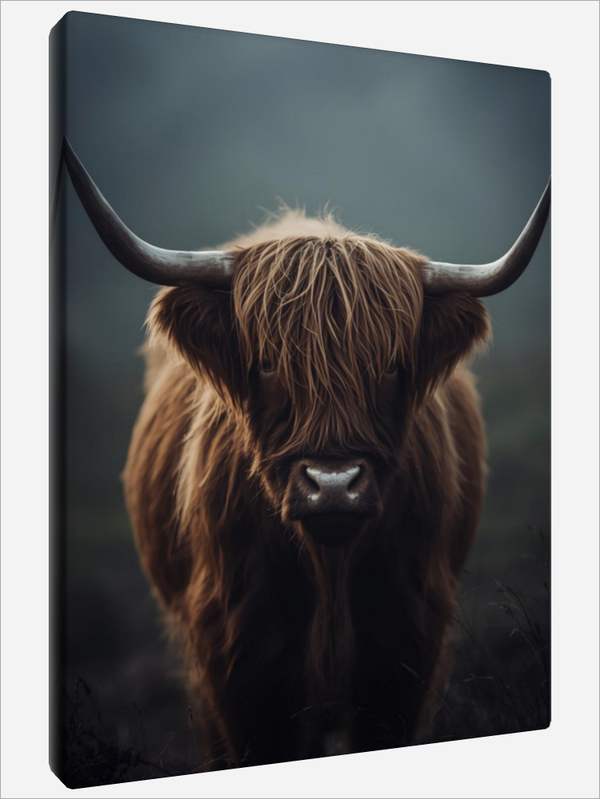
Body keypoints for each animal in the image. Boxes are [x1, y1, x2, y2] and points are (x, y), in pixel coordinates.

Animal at [57, 136, 550, 768]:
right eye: (268, 363)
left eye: (391, 366)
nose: (333, 484)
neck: (328, 566)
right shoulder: (236, 655)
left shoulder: (406, 644)